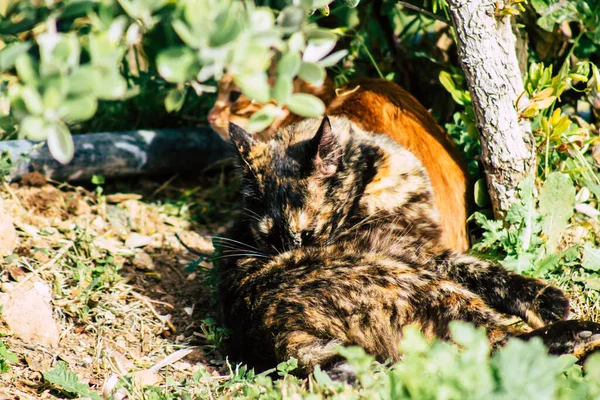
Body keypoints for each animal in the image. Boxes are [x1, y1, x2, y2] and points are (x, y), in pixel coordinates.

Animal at [218, 115, 600, 376]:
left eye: (308, 235)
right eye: (267, 238)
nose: (292, 254)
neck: (371, 184)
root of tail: (274, 334)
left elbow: (485, 272)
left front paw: (545, 300)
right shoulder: (420, 252)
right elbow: (483, 270)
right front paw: (550, 304)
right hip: (418, 283)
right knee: (499, 341)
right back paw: (577, 334)